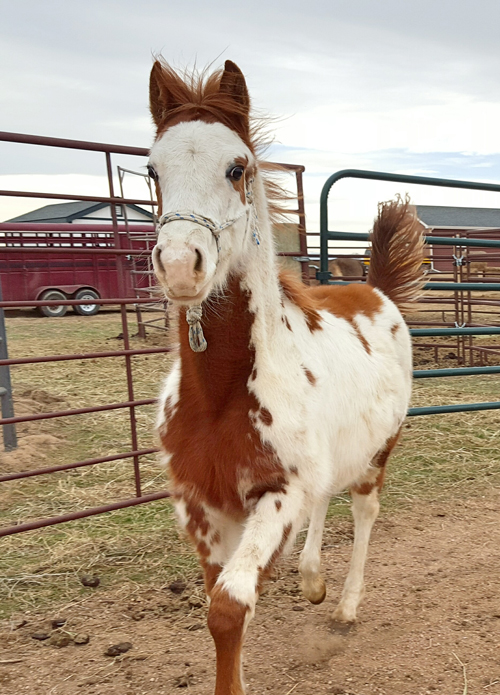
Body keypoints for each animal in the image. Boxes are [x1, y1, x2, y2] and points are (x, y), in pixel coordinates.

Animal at [150, 61, 424, 695]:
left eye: (237, 167)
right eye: (153, 170)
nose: (179, 266)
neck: (219, 396)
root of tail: (376, 289)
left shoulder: (279, 492)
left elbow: (230, 607)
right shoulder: (202, 505)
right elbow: (218, 605)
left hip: (378, 451)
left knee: (364, 511)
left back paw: (344, 605)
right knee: (327, 496)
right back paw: (311, 578)